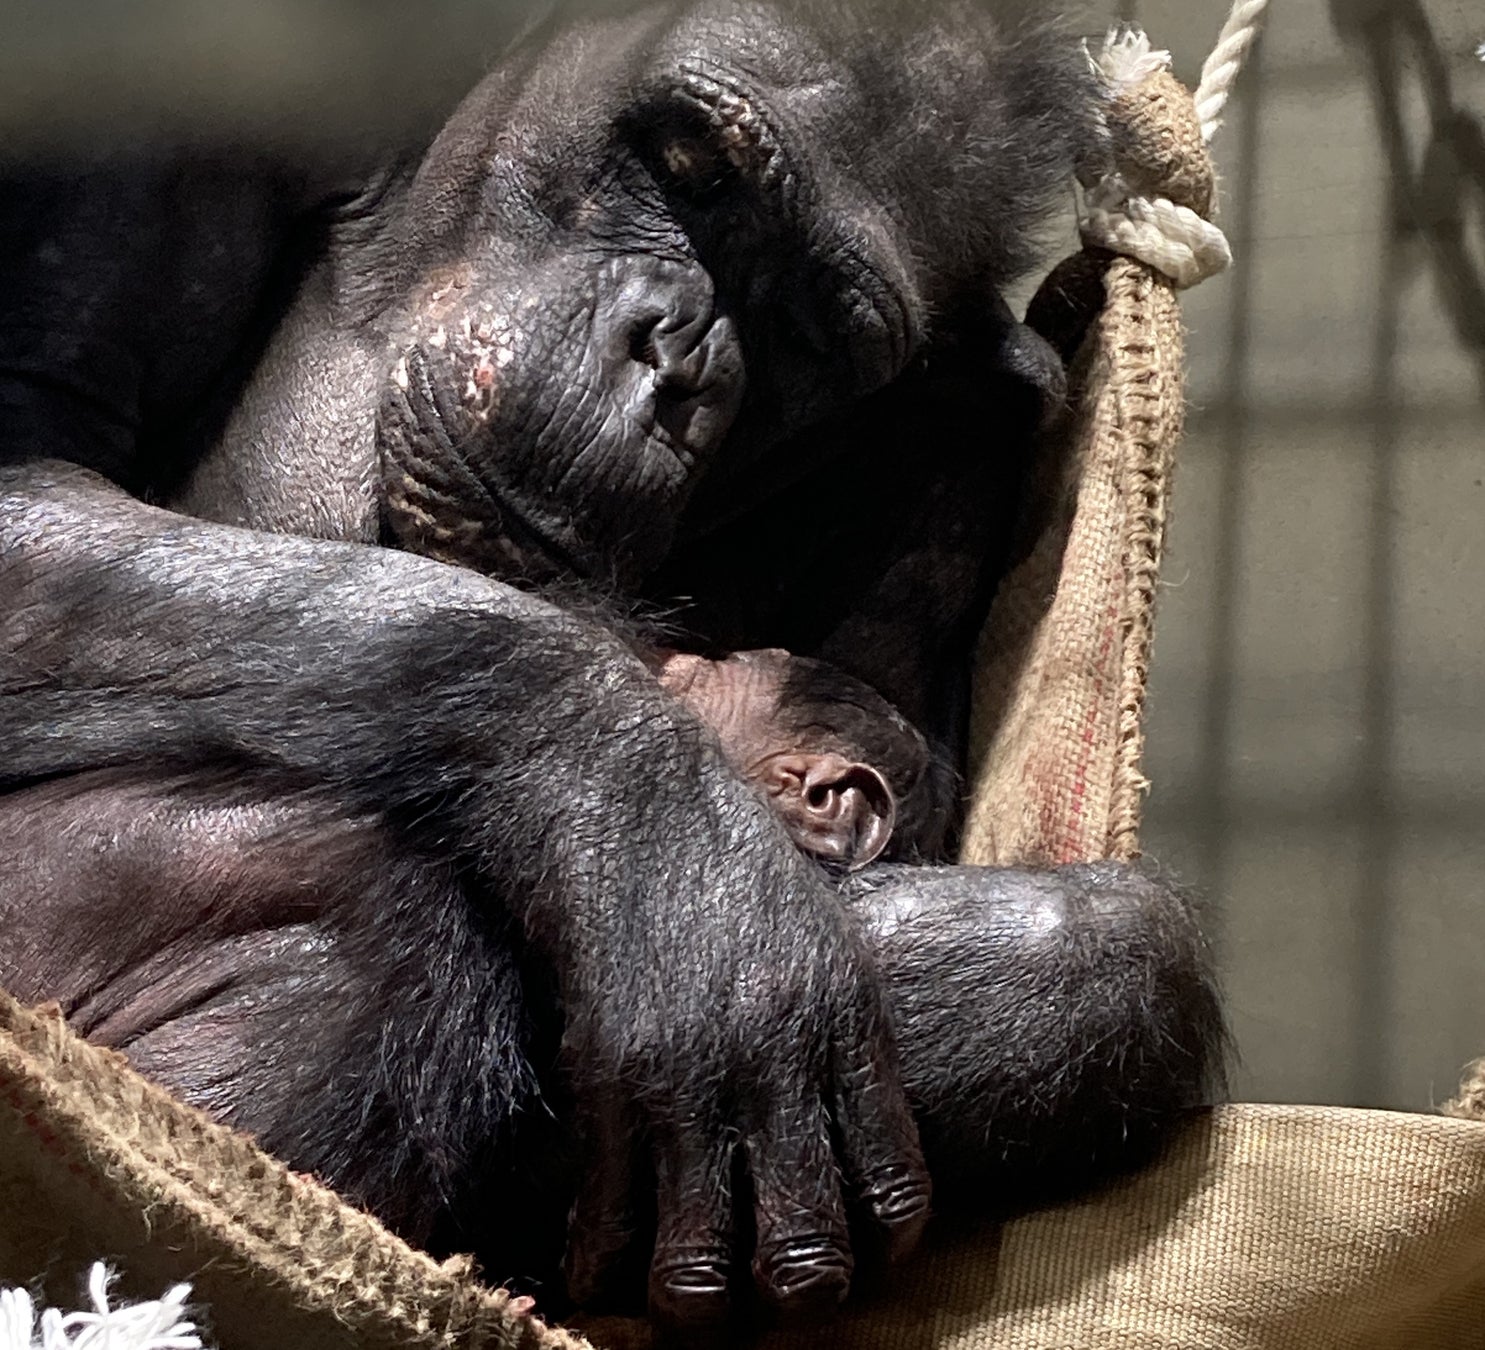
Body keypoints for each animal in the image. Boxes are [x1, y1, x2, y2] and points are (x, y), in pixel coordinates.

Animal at [0, 0, 1223, 1336]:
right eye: (694, 170)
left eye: (817, 326)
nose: (676, 359)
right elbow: (32, 471)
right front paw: (676, 861)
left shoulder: (980, 417)